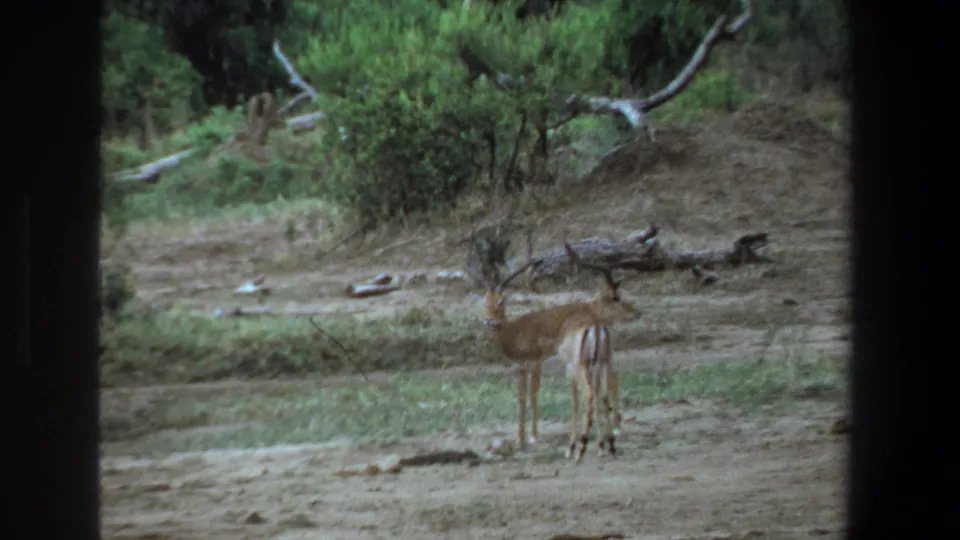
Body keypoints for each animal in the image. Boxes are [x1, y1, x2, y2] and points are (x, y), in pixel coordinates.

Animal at [473, 242, 640, 449]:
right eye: (485, 302)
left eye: (501, 301)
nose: (489, 320)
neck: (515, 331)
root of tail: (595, 323)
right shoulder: (519, 366)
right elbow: (521, 398)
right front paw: (519, 439)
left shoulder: (536, 361)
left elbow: (533, 393)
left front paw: (533, 436)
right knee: (607, 383)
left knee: (608, 381)